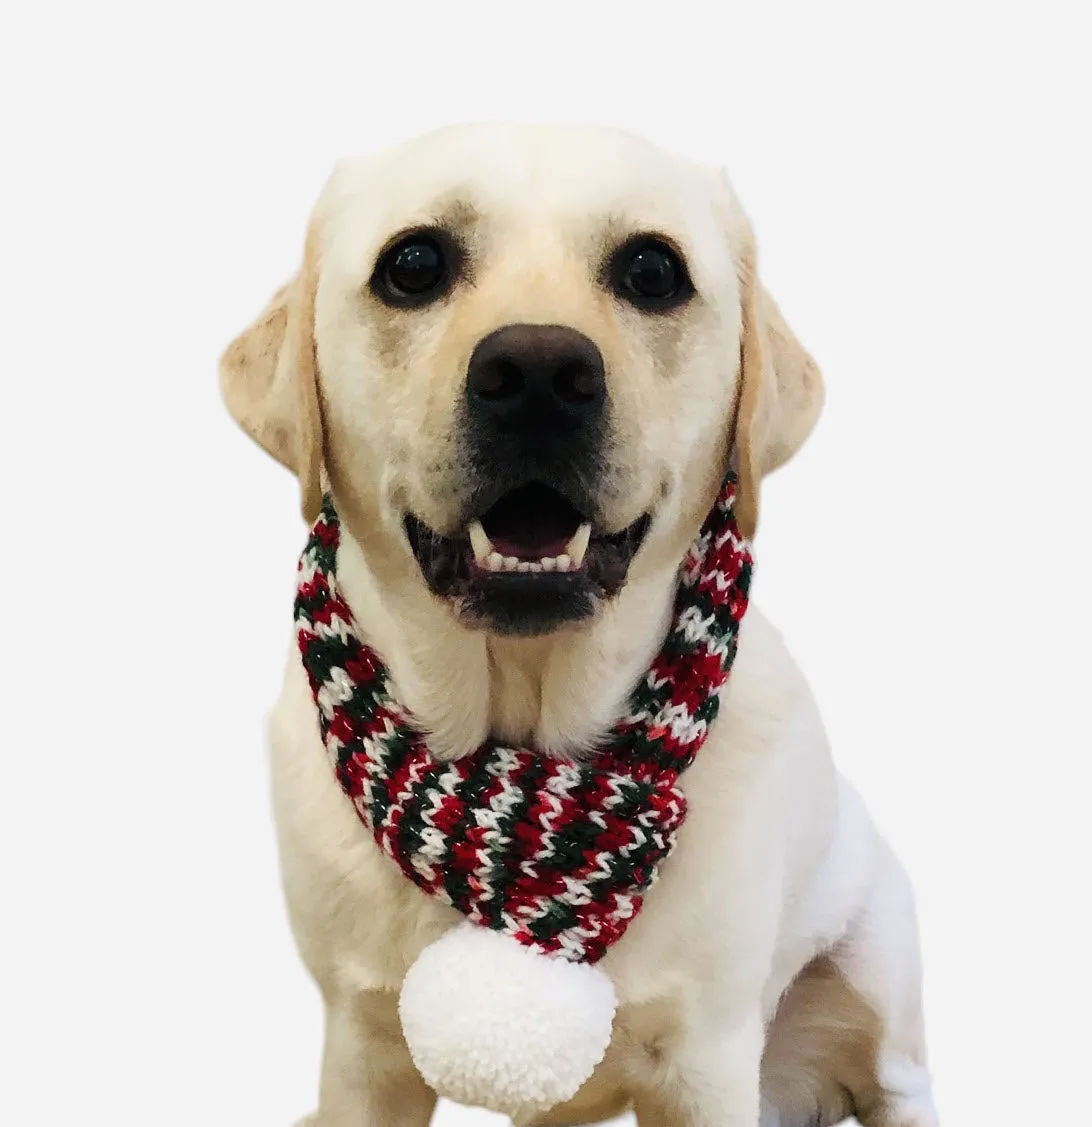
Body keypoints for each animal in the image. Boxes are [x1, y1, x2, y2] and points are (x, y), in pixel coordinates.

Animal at [222, 123, 937, 1127]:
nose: (536, 374)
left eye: (652, 269)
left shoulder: (707, 1060)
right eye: (414, 263)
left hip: (876, 978)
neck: (522, 735)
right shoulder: (362, 1048)